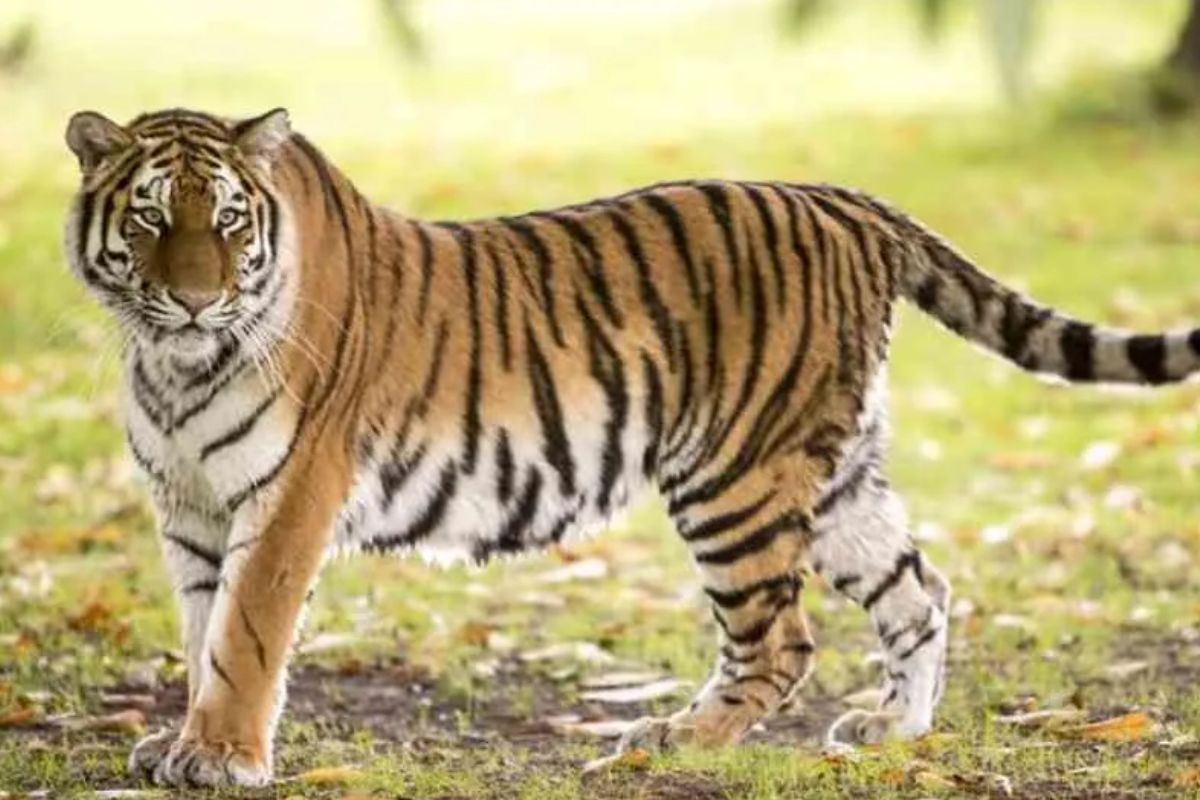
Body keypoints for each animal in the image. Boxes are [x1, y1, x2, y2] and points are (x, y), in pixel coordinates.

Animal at [62, 106, 1200, 788]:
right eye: (154, 218)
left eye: (229, 222)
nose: (193, 298)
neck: (173, 362)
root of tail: (839, 199)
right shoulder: (192, 509)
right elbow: (206, 631)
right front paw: (185, 739)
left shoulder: (288, 495)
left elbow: (247, 634)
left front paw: (220, 755)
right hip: (834, 474)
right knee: (920, 587)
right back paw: (893, 732)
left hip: (734, 473)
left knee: (780, 639)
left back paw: (671, 741)